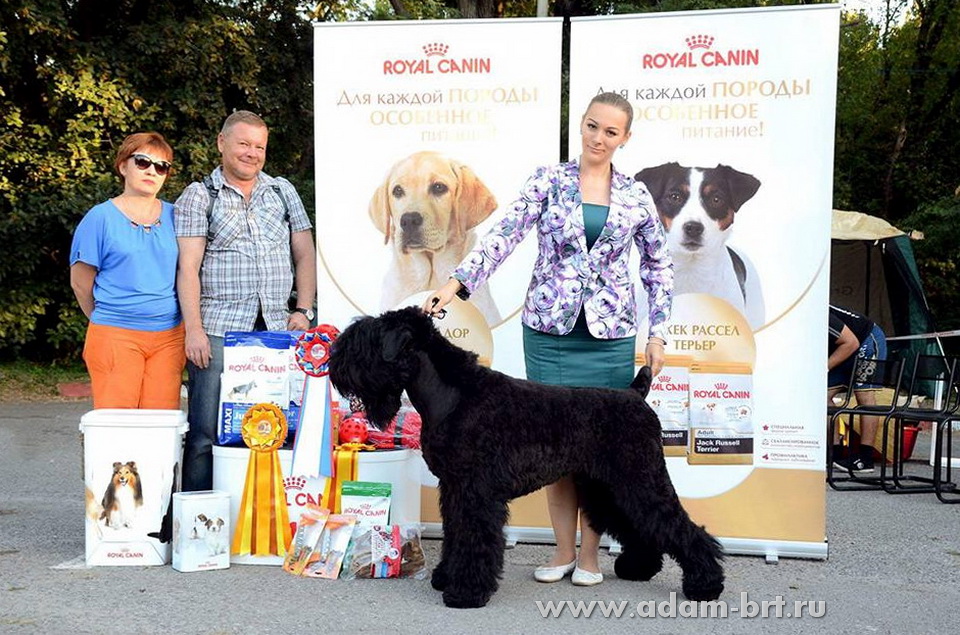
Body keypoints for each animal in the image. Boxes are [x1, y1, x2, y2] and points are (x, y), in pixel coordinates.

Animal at [329, 307, 725, 609]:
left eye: (364, 341)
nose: (335, 367)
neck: (453, 394)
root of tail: (635, 394)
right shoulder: (454, 489)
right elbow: (455, 534)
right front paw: (445, 577)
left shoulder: (476, 492)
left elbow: (474, 539)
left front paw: (465, 592)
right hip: (610, 486)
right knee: (640, 524)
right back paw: (639, 567)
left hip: (639, 479)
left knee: (684, 529)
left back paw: (705, 585)